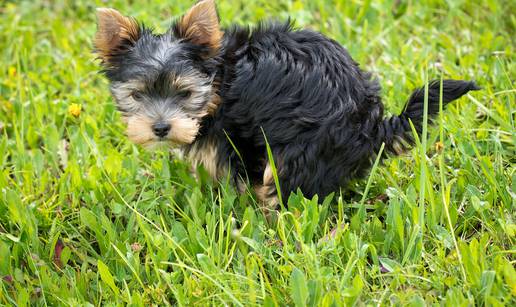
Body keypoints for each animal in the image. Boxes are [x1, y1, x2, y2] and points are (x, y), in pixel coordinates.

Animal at [94, 0, 478, 211]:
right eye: (138, 95)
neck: (220, 79)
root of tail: (371, 125)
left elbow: (239, 176)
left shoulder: (236, 137)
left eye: (185, 94)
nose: (161, 128)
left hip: (302, 148)